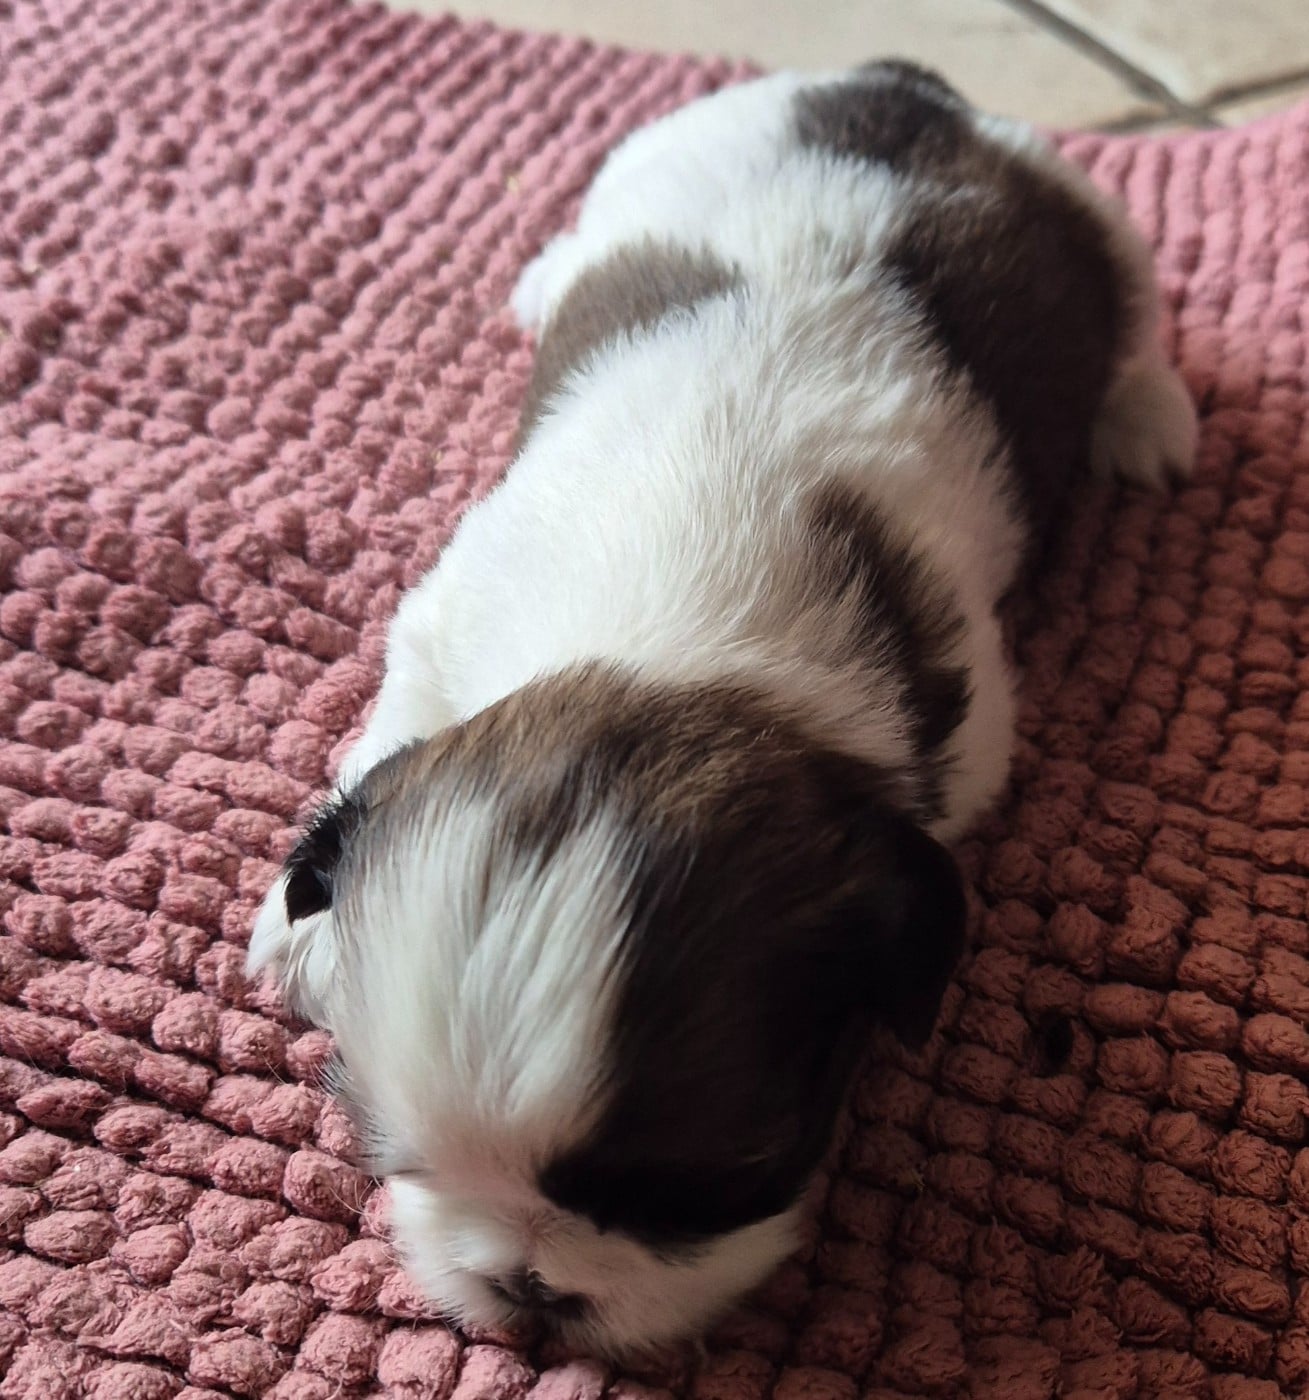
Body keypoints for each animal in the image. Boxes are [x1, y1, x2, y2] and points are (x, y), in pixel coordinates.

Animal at [248, 61, 1197, 1357]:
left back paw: (1143, 420)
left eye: (709, 1191)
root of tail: (895, 81)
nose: (531, 1286)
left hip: (1101, 222)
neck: (665, 640)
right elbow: (390, 727)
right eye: (405, 1162)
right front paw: (299, 920)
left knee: (1137, 326)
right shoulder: (441, 616)